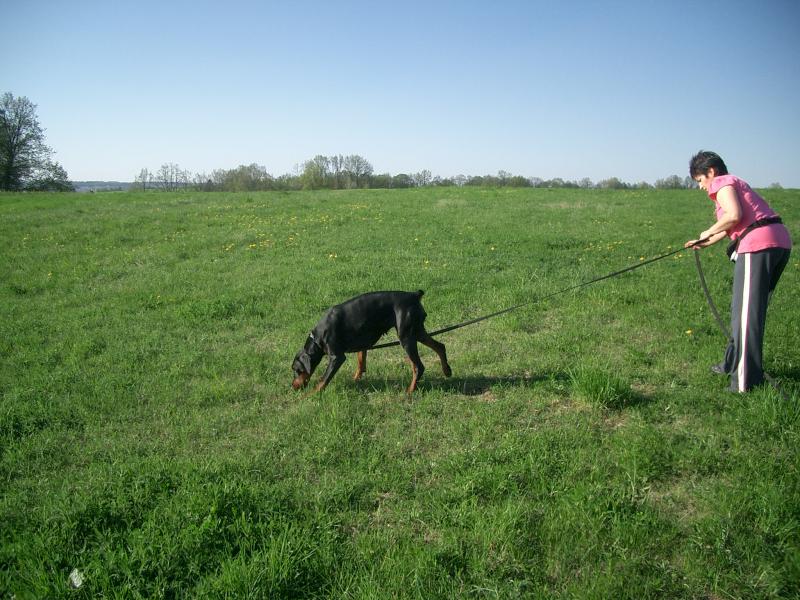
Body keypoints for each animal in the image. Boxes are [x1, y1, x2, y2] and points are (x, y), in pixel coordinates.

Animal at [291, 290, 452, 393]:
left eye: (296, 370)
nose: (293, 386)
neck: (317, 338)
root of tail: (414, 295)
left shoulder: (336, 357)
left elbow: (323, 380)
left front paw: (311, 395)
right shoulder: (362, 342)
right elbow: (361, 360)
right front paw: (357, 377)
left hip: (406, 337)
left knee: (418, 366)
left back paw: (409, 392)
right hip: (417, 332)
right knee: (440, 346)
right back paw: (447, 371)